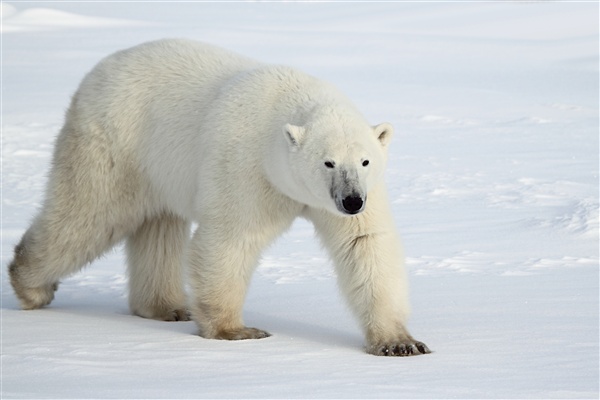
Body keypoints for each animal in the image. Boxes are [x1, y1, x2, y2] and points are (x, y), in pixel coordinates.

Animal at [9, 38, 432, 356]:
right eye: (327, 162)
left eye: (364, 160)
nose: (351, 201)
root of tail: (98, 70)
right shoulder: (247, 167)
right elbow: (231, 238)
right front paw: (237, 331)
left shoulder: (364, 192)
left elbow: (365, 243)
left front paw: (400, 343)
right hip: (115, 144)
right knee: (88, 215)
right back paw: (31, 286)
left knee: (158, 229)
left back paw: (166, 306)